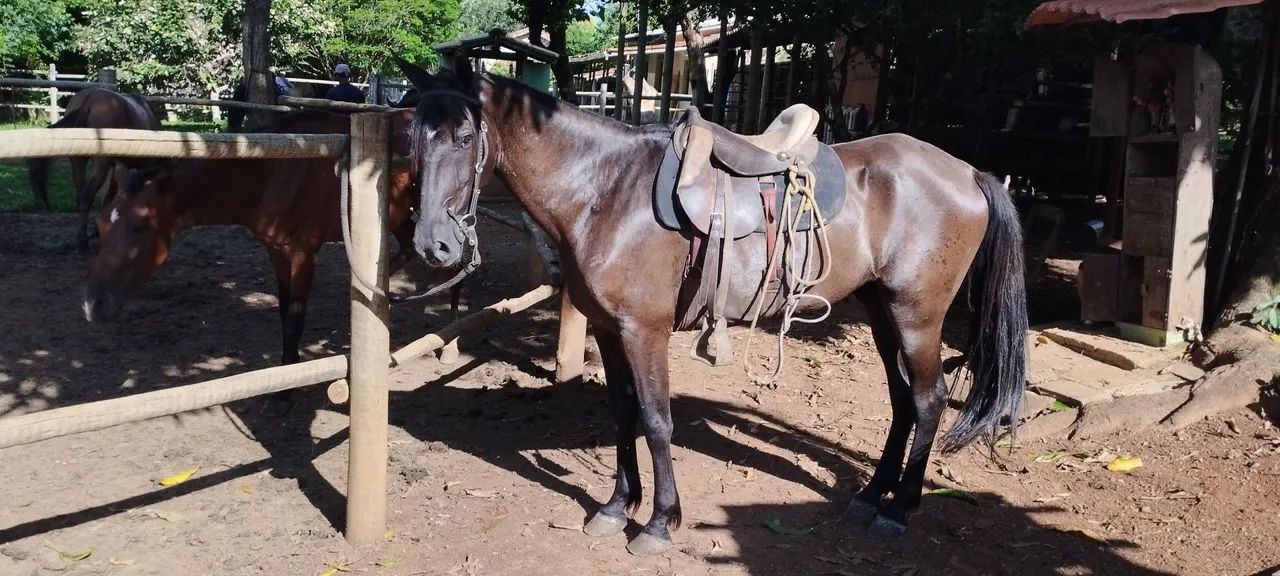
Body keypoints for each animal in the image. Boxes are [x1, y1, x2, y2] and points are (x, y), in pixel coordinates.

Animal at [27, 87, 163, 253]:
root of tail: (90, 98)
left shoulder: (117, 167)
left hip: (79, 162)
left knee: (81, 196)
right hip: (100, 166)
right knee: (87, 196)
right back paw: (83, 242)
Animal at [82, 110, 439, 400]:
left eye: (140, 226)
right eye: (100, 225)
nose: (92, 305)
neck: (272, 172)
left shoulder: (303, 254)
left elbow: (294, 318)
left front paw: (285, 394)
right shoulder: (276, 253)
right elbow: (283, 313)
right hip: (398, 217)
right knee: (408, 249)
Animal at [397, 57, 1028, 556]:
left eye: (462, 137)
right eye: (413, 139)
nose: (435, 246)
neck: (603, 190)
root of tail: (968, 171)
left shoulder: (644, 331)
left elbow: (656, 421)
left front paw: (658, 524)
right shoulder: (608, 330)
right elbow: (623, 412)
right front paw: (616, 506)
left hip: (918, 316)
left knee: (929, 399)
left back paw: (899, 510)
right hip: (881, 310)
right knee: (902, 401)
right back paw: (872, 497)